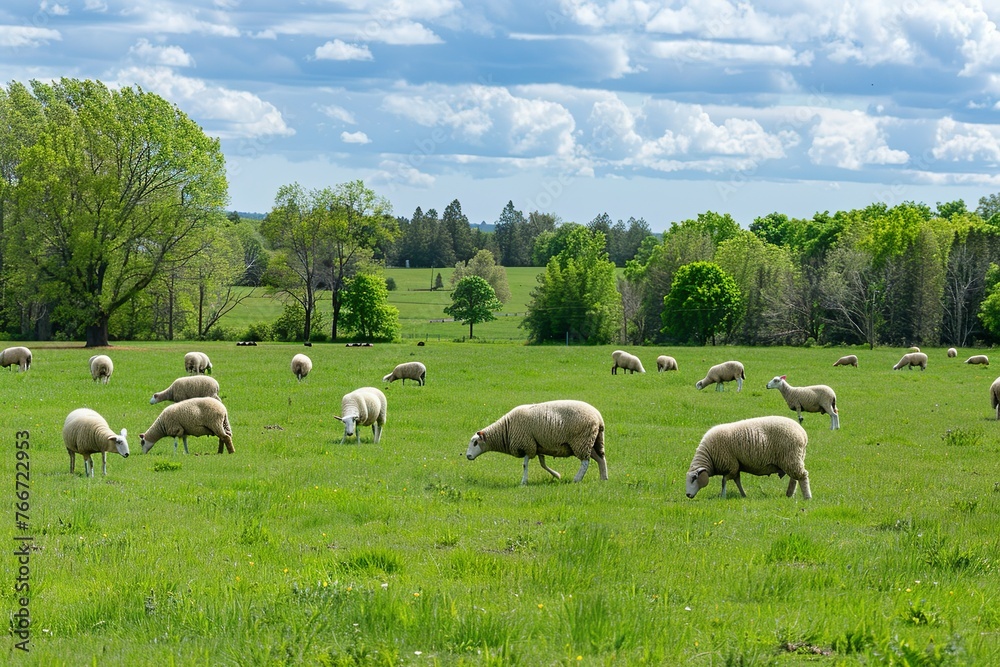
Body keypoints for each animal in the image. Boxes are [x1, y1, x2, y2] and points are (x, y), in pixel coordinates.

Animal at [464, 400, 604, 488]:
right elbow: (543, 463)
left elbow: (525, 465)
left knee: (585, 462)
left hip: (581, 440)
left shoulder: (527, 445)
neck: (505, 429)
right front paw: (557, 475)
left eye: (475, 443)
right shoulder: (538, 446)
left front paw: (523, 482)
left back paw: (577, 479)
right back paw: (604, 478)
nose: (468, 456)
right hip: (595, 440)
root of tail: (598, 417)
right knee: (601, 459)